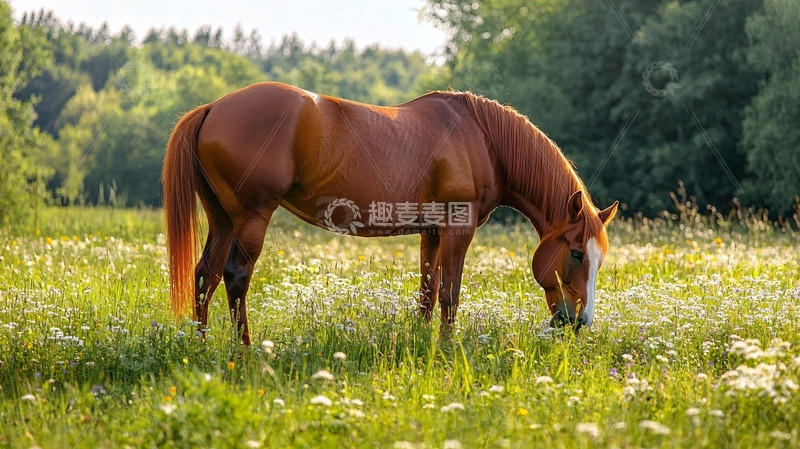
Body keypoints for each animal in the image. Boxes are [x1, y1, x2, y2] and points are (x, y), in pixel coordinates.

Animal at [163, 82, 618, 345]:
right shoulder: (459, 227)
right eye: (576, 252)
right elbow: (450, 293)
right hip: (251, 218)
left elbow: (427, 292)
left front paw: (422, 342)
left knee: (205, 275)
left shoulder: (431, 231)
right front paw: (446, 348)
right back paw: (246, 353)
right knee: (236, 278)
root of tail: (212, 108)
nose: (579, 321)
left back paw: (201, 346)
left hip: (223, 219)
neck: (484, 139)